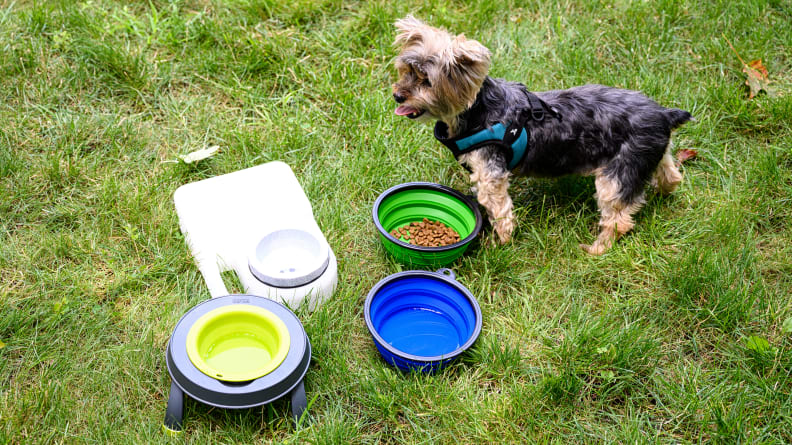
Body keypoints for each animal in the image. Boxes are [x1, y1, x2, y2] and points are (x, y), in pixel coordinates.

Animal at [392, 16, 688, 253]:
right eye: (406, 71)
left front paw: (499, 244)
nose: (397, 95)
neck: (477, 109)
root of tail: (664, 115)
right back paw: (661, 192)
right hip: (650, 155)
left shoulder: (490, 174)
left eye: (427, 82)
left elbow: (499, 210)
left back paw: (597, 248)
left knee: (619, 219)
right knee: (671, 175)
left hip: (617, 173)